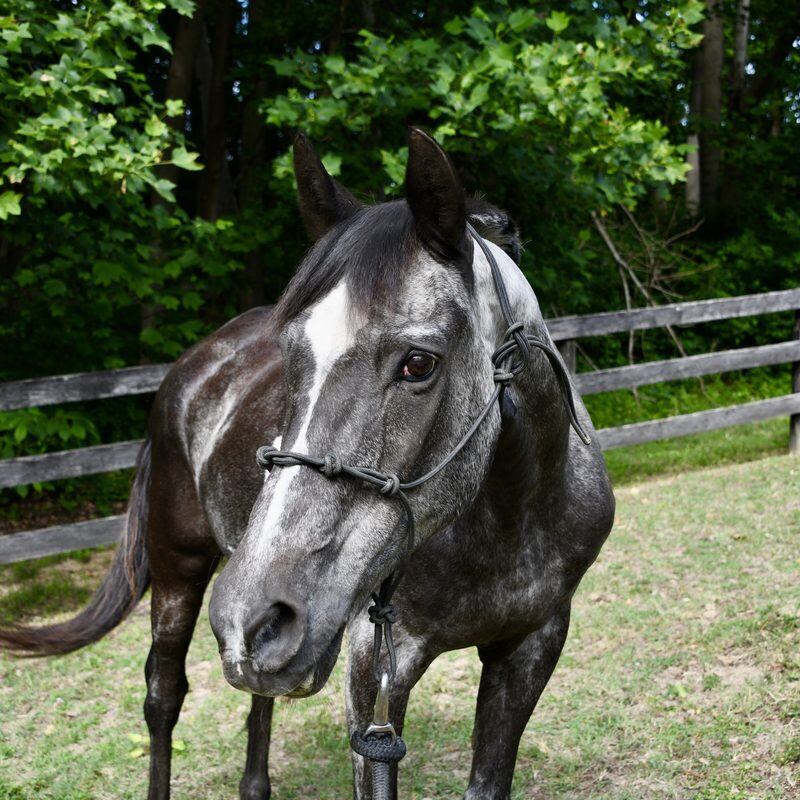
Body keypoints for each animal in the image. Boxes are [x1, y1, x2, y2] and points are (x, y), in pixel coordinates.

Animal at [0, 129, 615, 800]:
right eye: (291, 356)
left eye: (419, 364)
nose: (253, 611)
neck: (510, 519)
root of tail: (190, 370)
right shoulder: (376, 668)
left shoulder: (530, 647)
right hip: (179, 569)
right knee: (163, 696)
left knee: (256, 699)